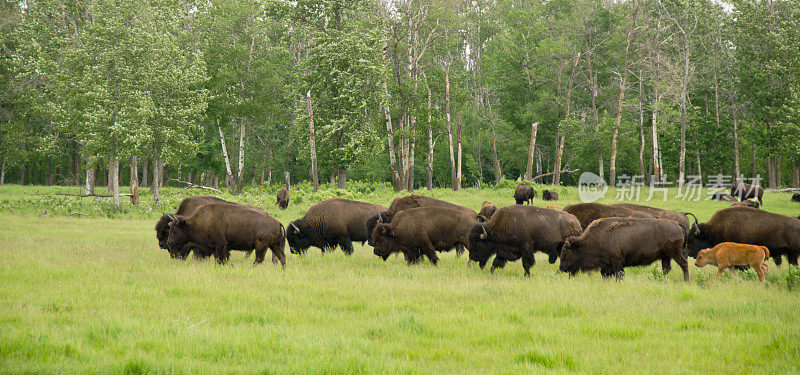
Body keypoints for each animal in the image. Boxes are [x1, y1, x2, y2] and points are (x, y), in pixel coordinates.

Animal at [556, 217, 688, 282]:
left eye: (565, 251)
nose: (561, 268)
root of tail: (677, 224)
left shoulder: (617, 262)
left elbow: (619, 275)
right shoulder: (607, 266)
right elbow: (605, 275)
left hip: (674, 252)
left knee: (683, 263)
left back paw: (686, 281)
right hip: (665, 255)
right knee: (666, 268)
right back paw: (659, 280)